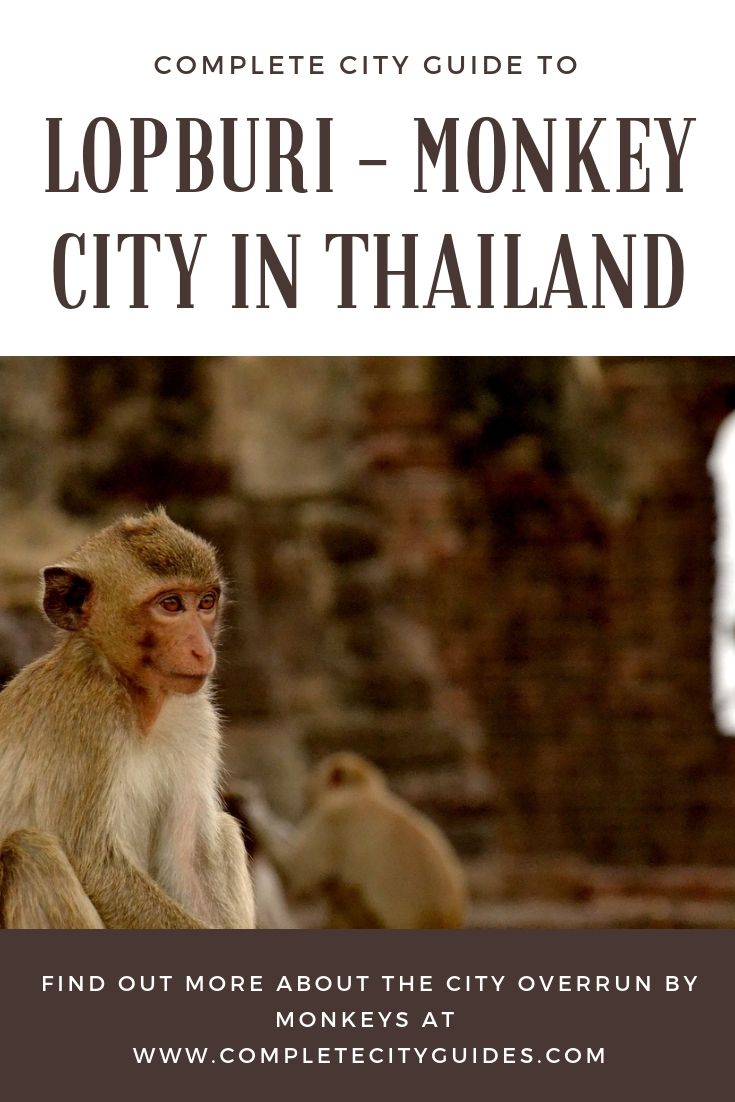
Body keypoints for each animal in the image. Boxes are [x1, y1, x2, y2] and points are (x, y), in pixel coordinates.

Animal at [0, 508, 254, 930]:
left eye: (205, 602)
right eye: (171, 605)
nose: (203, 650)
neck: (136, 698)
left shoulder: (194, 716)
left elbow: (189, 856)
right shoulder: (88, 712)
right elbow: (93, 864)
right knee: (30, 853)